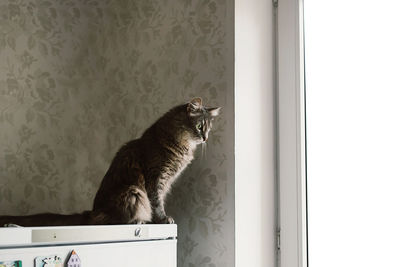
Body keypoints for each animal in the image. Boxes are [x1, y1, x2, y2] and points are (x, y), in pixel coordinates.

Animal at [0, 97, 219, 227]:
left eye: (209, 129)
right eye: (200, 126)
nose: (206, 138)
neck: (179, 143)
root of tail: (91, 212)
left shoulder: (167, 181)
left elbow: (160, 199)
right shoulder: (156, 176)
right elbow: (156, 201)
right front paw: (163, 219)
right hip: (133, 191)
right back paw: (139, 222)